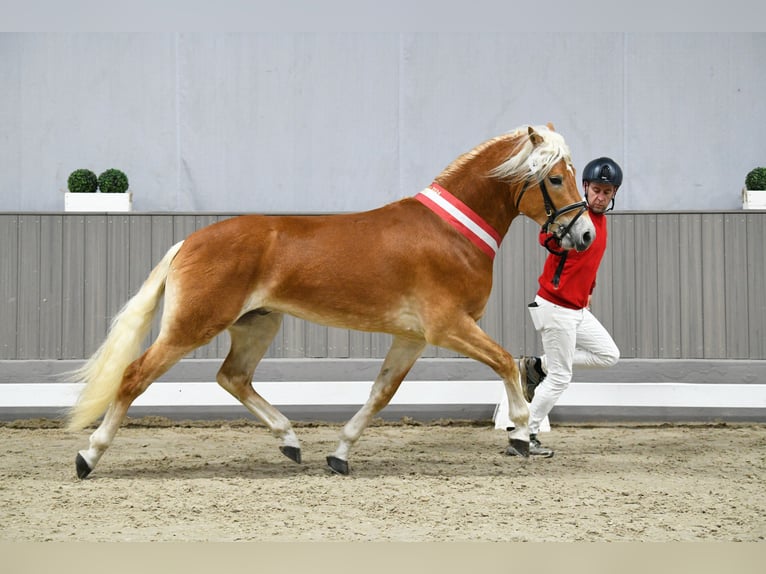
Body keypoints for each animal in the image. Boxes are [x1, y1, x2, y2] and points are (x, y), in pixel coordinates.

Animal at [67, 125, 592, 476]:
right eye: (556, 178)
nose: (584, 234)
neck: (451, 233)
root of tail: (188, 242)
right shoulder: (447, 326)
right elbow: (504, 362)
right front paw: (521, 433)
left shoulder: (412, 338)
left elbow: (381, 394)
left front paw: (339, 454)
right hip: (192, 325)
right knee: (134, 376)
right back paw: (88, 456)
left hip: (258, 324)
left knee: (233, 377)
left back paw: (290, 441)